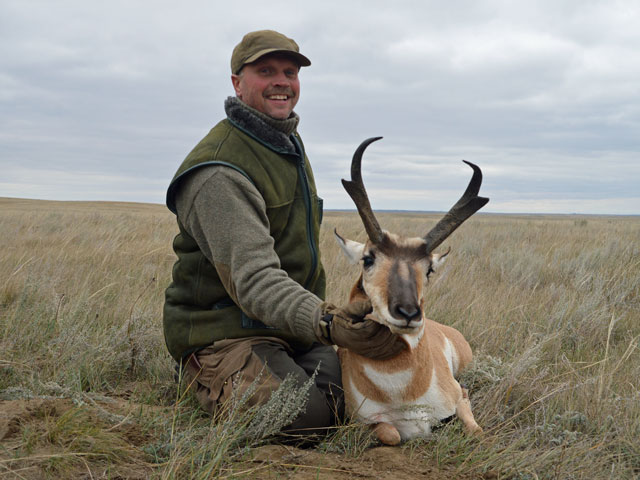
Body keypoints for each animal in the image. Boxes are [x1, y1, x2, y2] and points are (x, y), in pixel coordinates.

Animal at [336, 136, 490, 446]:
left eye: (429, 269)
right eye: (367, 259)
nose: (408, 313)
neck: (401, 391)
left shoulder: (457, 397)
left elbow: (473, 425)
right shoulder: (364, 422)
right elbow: (390, 433)